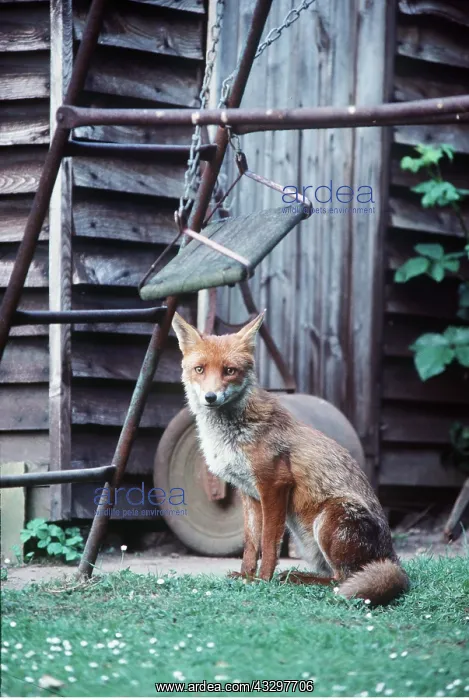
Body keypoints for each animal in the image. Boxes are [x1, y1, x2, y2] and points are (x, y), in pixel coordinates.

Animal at [172, 310, 409, 605]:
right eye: (200, 369)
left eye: (229, 371)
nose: (210, 397)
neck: (232, 435)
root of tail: (393, 560)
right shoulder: (248, 493)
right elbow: (251, 543)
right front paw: (246, 576)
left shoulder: (275, 485)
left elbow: (268, 543)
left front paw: (263, 580)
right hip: (308, 542)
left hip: (329, 519)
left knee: (341, 578)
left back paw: (295, 578)